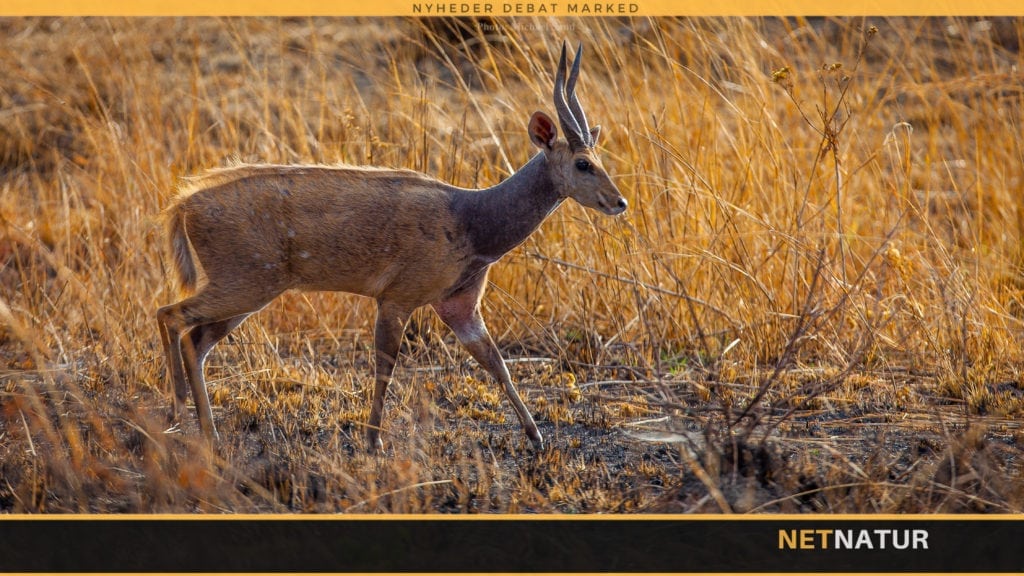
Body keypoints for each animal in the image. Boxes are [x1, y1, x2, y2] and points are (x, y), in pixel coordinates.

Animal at [156, 41, 626, 452]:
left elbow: (497, 365)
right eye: (583, 163)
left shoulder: (459, 305)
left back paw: (205, 430)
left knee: (196, 338)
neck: (473, 221)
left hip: (250, 290)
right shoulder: (398, 296)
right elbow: (386, 364)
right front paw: (373, 441)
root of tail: (183, 205)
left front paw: (537, 438)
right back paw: (179, 415)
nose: (619, 202)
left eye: (600, 158)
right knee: (170, 315)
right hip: (246, 280)